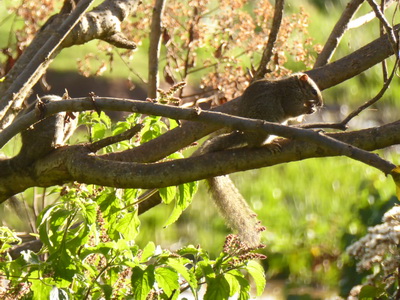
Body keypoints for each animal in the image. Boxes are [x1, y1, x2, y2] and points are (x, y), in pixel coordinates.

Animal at [198, 72, 324, 246]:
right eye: (313, 91)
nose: (321, 104)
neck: (293, 86)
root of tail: (245, 135)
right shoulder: (289, 98)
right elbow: (293, 110)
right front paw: (309, 108)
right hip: (264, 124)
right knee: (256, 145)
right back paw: (267, 145)